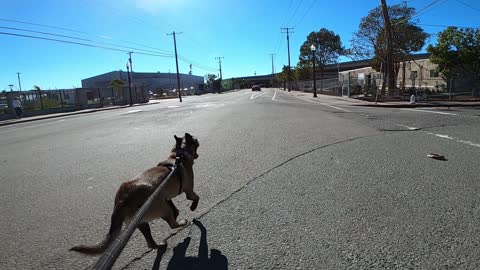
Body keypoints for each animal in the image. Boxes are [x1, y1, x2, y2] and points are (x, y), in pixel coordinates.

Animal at [70, 133, 200, 255]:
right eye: (195, 141)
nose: (197, 139)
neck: (179, 155)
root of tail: (121, 200)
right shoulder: (189, 191)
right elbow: (196, 198)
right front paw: (193, 207)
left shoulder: (165, 196)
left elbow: (174, 206)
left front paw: (177, 212)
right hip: (162, 209)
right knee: (172, 224)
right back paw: (182, 223)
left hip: (140, 222)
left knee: (150, 242)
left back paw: (160, 245)